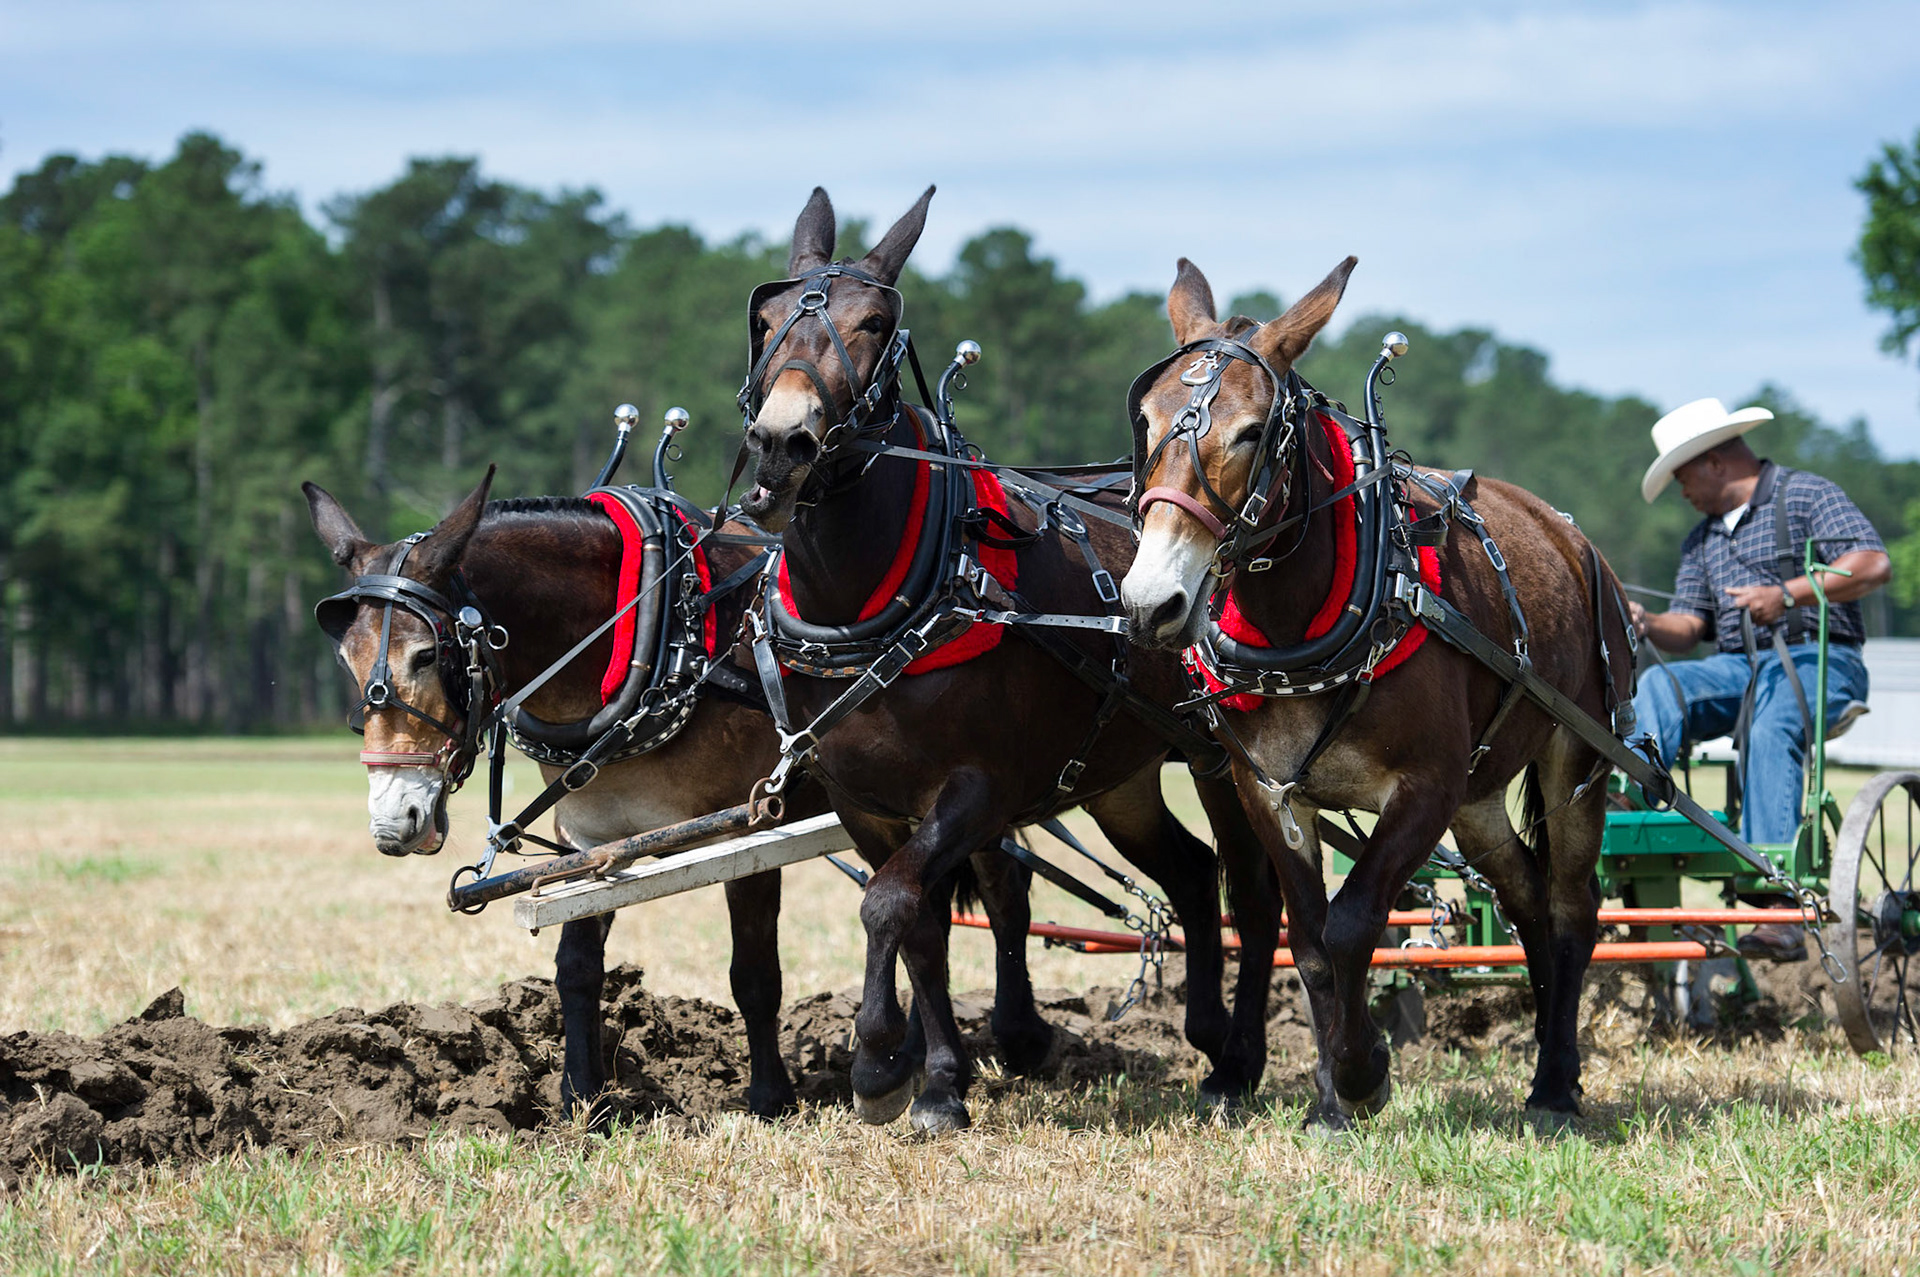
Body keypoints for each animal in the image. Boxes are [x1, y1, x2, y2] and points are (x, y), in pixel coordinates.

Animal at [303, 471, 1064, 1119]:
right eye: (345, 658)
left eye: (426, 654)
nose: (393, 821)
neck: (662, 641)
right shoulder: (593, 839)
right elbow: (576, 966)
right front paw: (583, 1098)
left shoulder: (749, 826)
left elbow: (754, 973)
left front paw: (769, 1097)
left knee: (1003, 897)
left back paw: (1017, 1035)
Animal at [737, 186, 1282, 1133]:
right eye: (766, 320)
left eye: (875, 321)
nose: (782, 442)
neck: (872, 601)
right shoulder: (860, 798)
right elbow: (915, 920)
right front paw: (937, 1078)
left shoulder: (976, 787)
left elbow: (889, 899)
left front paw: (877, 1062)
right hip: (1118, 775)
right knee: (1189, 870)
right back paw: (1206, 1028)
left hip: (1218, 756)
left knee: (1249, 886)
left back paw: (1236, 1055)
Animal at [1119, 257, 1635, 1129]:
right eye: (1148, 423)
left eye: (1251, 431)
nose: (1152, 602)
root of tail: (1574, 539)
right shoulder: (1269, 792)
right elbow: (1309, 937)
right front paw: (1332, 1093)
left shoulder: (1426, 788)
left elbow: (1356, 921)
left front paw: (1364, 1073)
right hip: (1480, 796)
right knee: (1526, 895)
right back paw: (1540, 1043)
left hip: (1575, 758)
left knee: (1572, 904)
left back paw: (1557, 1080)